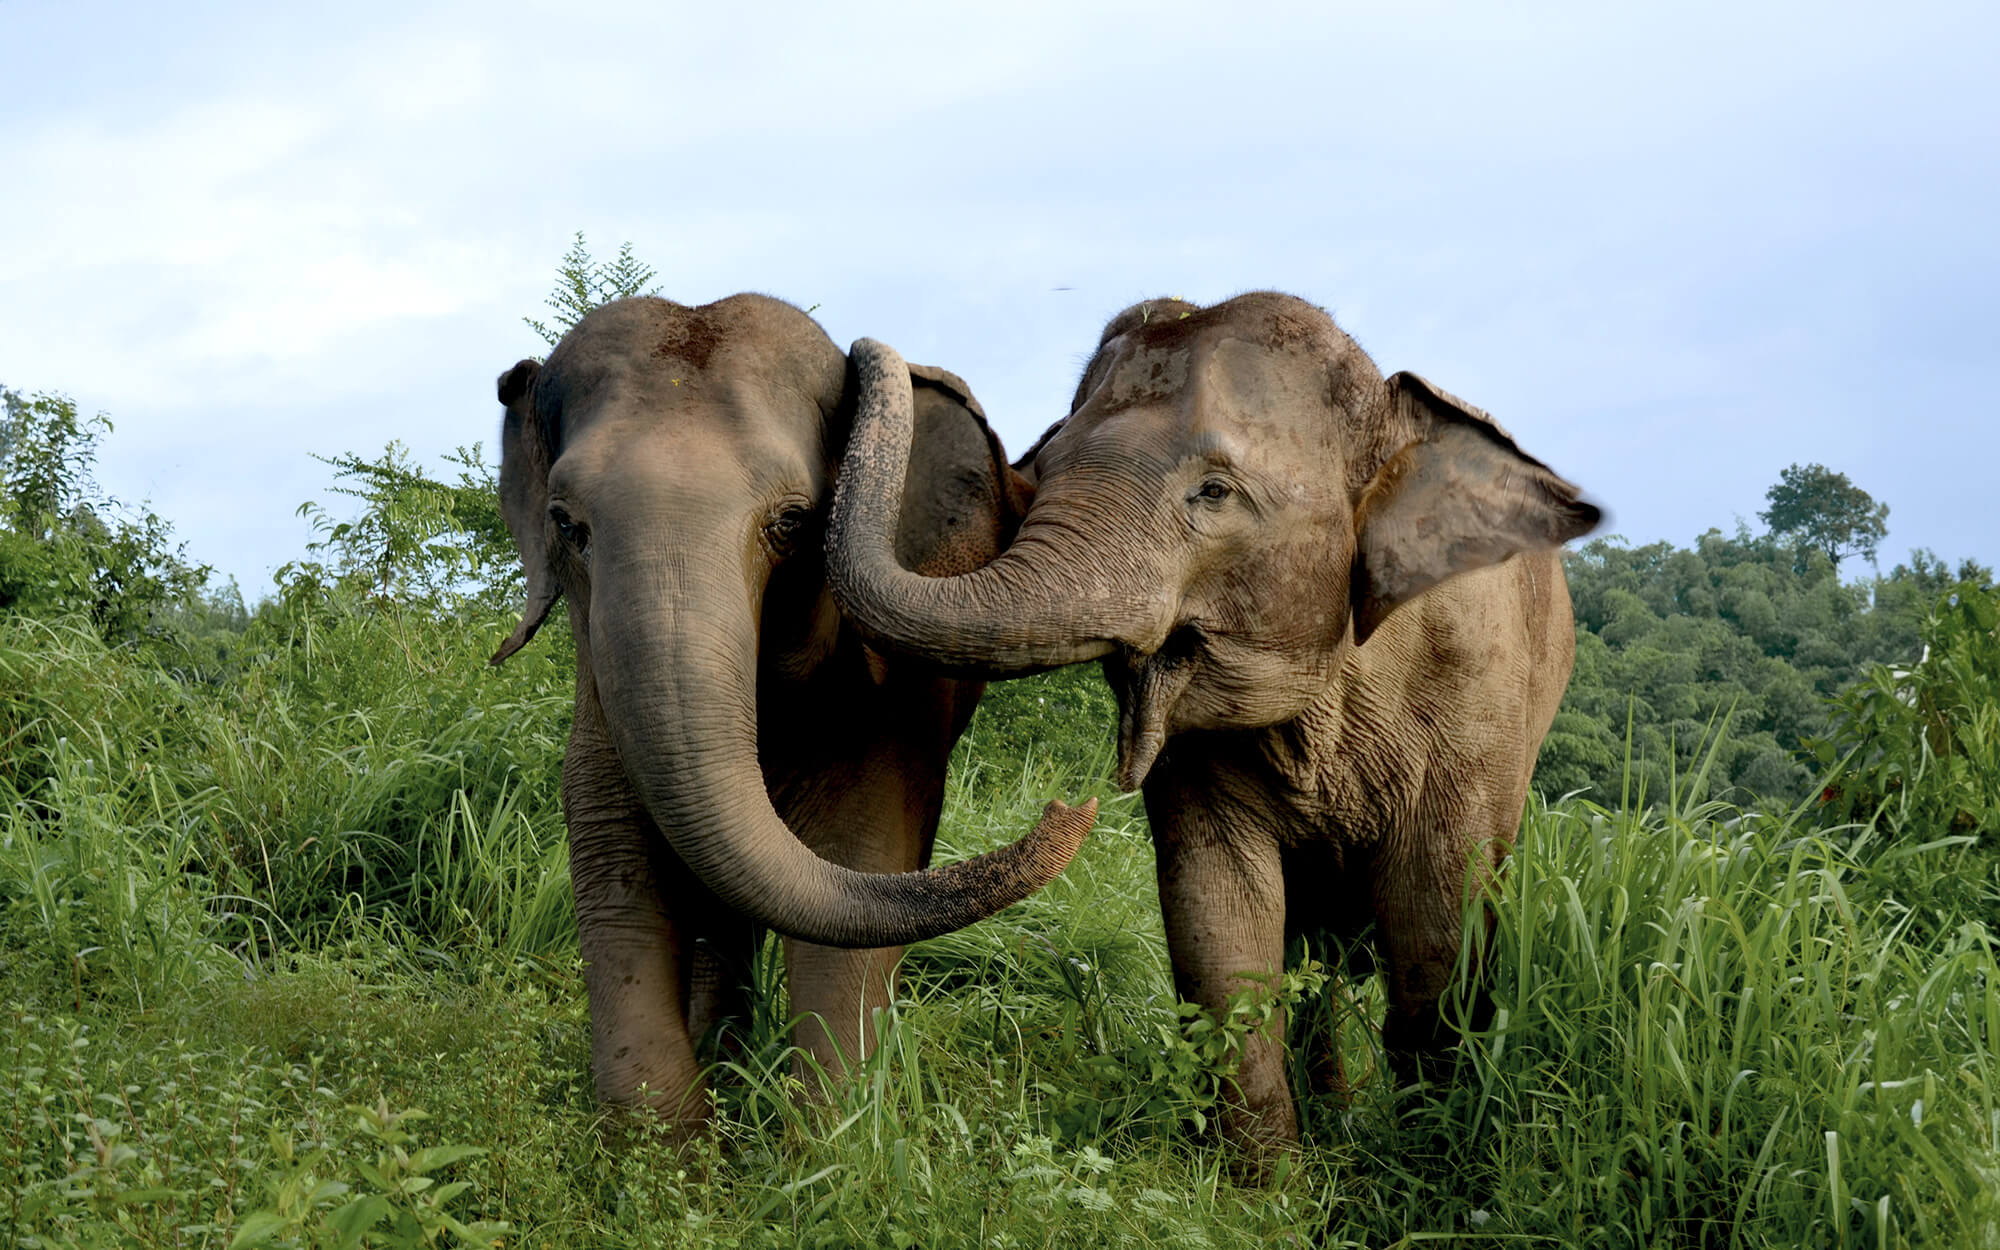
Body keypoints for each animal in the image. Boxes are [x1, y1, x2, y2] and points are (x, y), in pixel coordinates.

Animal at [490, 293, 1095, 1133]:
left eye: (793, 523)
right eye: (564, 522)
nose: (1072, 805)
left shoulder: (887, 695)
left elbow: (862, 850)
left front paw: (827, 1138)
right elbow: (611, 837)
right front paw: (667, 1141)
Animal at [824, 291, 1600, 1160]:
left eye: (1215, 492)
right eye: (1041, 474)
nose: (896, 359)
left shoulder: (1474, 700)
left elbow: (1439, 931)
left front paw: (1424, 1162)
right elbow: (1220, 918)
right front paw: (1276, 1183)